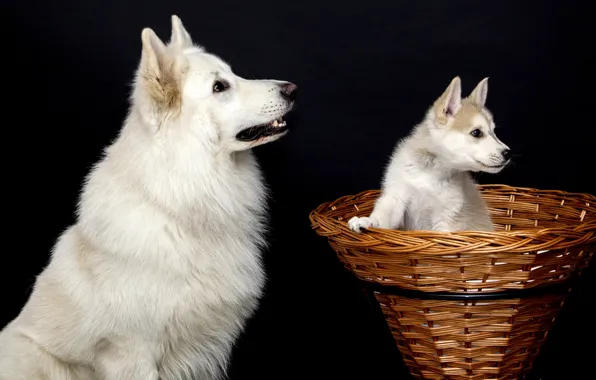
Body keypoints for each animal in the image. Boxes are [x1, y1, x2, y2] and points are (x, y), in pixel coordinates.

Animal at [0, 14, 298, 380]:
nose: (292, 89)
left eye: (233, 75)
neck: (180, 201)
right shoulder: (131, 353)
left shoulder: (205, 350)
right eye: (220, 87)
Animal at [350, 75, 512, 233]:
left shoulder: (445, 220)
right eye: (477, 133)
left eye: (493, 132)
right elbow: (383, 218)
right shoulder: (396, 198)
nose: (508, 153)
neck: (430, 172)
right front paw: (368, 221)